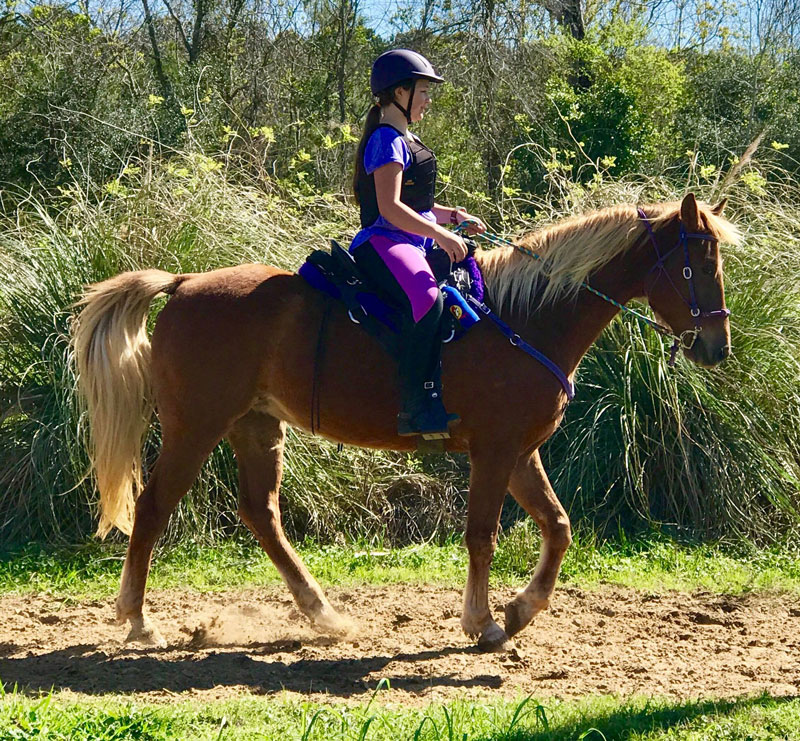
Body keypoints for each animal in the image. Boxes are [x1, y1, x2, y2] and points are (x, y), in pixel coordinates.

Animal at [73, 194, 736, 652]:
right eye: (694, 269)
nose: (716, 347)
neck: (523, 319)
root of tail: (184, 284)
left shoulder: (520, 452)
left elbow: (558, 526)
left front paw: (521, 609)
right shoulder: (495, 452)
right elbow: (482, 535)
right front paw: (484, 622)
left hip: (256, 428)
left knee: (261, 514)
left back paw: (324, 614)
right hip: (196, 428)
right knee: (154, 508)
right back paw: (137, 620)